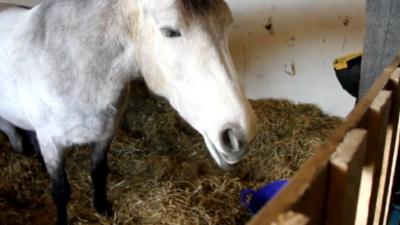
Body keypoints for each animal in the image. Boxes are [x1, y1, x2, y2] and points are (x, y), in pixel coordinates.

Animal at [0, 0, 256, 223]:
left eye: (226, 24)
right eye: (170, 31)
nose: (239, 134)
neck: (77, 66)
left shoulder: (104, 134)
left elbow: (98, 172)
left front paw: (103, 209)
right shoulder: (52, 143)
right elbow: (61, 191)